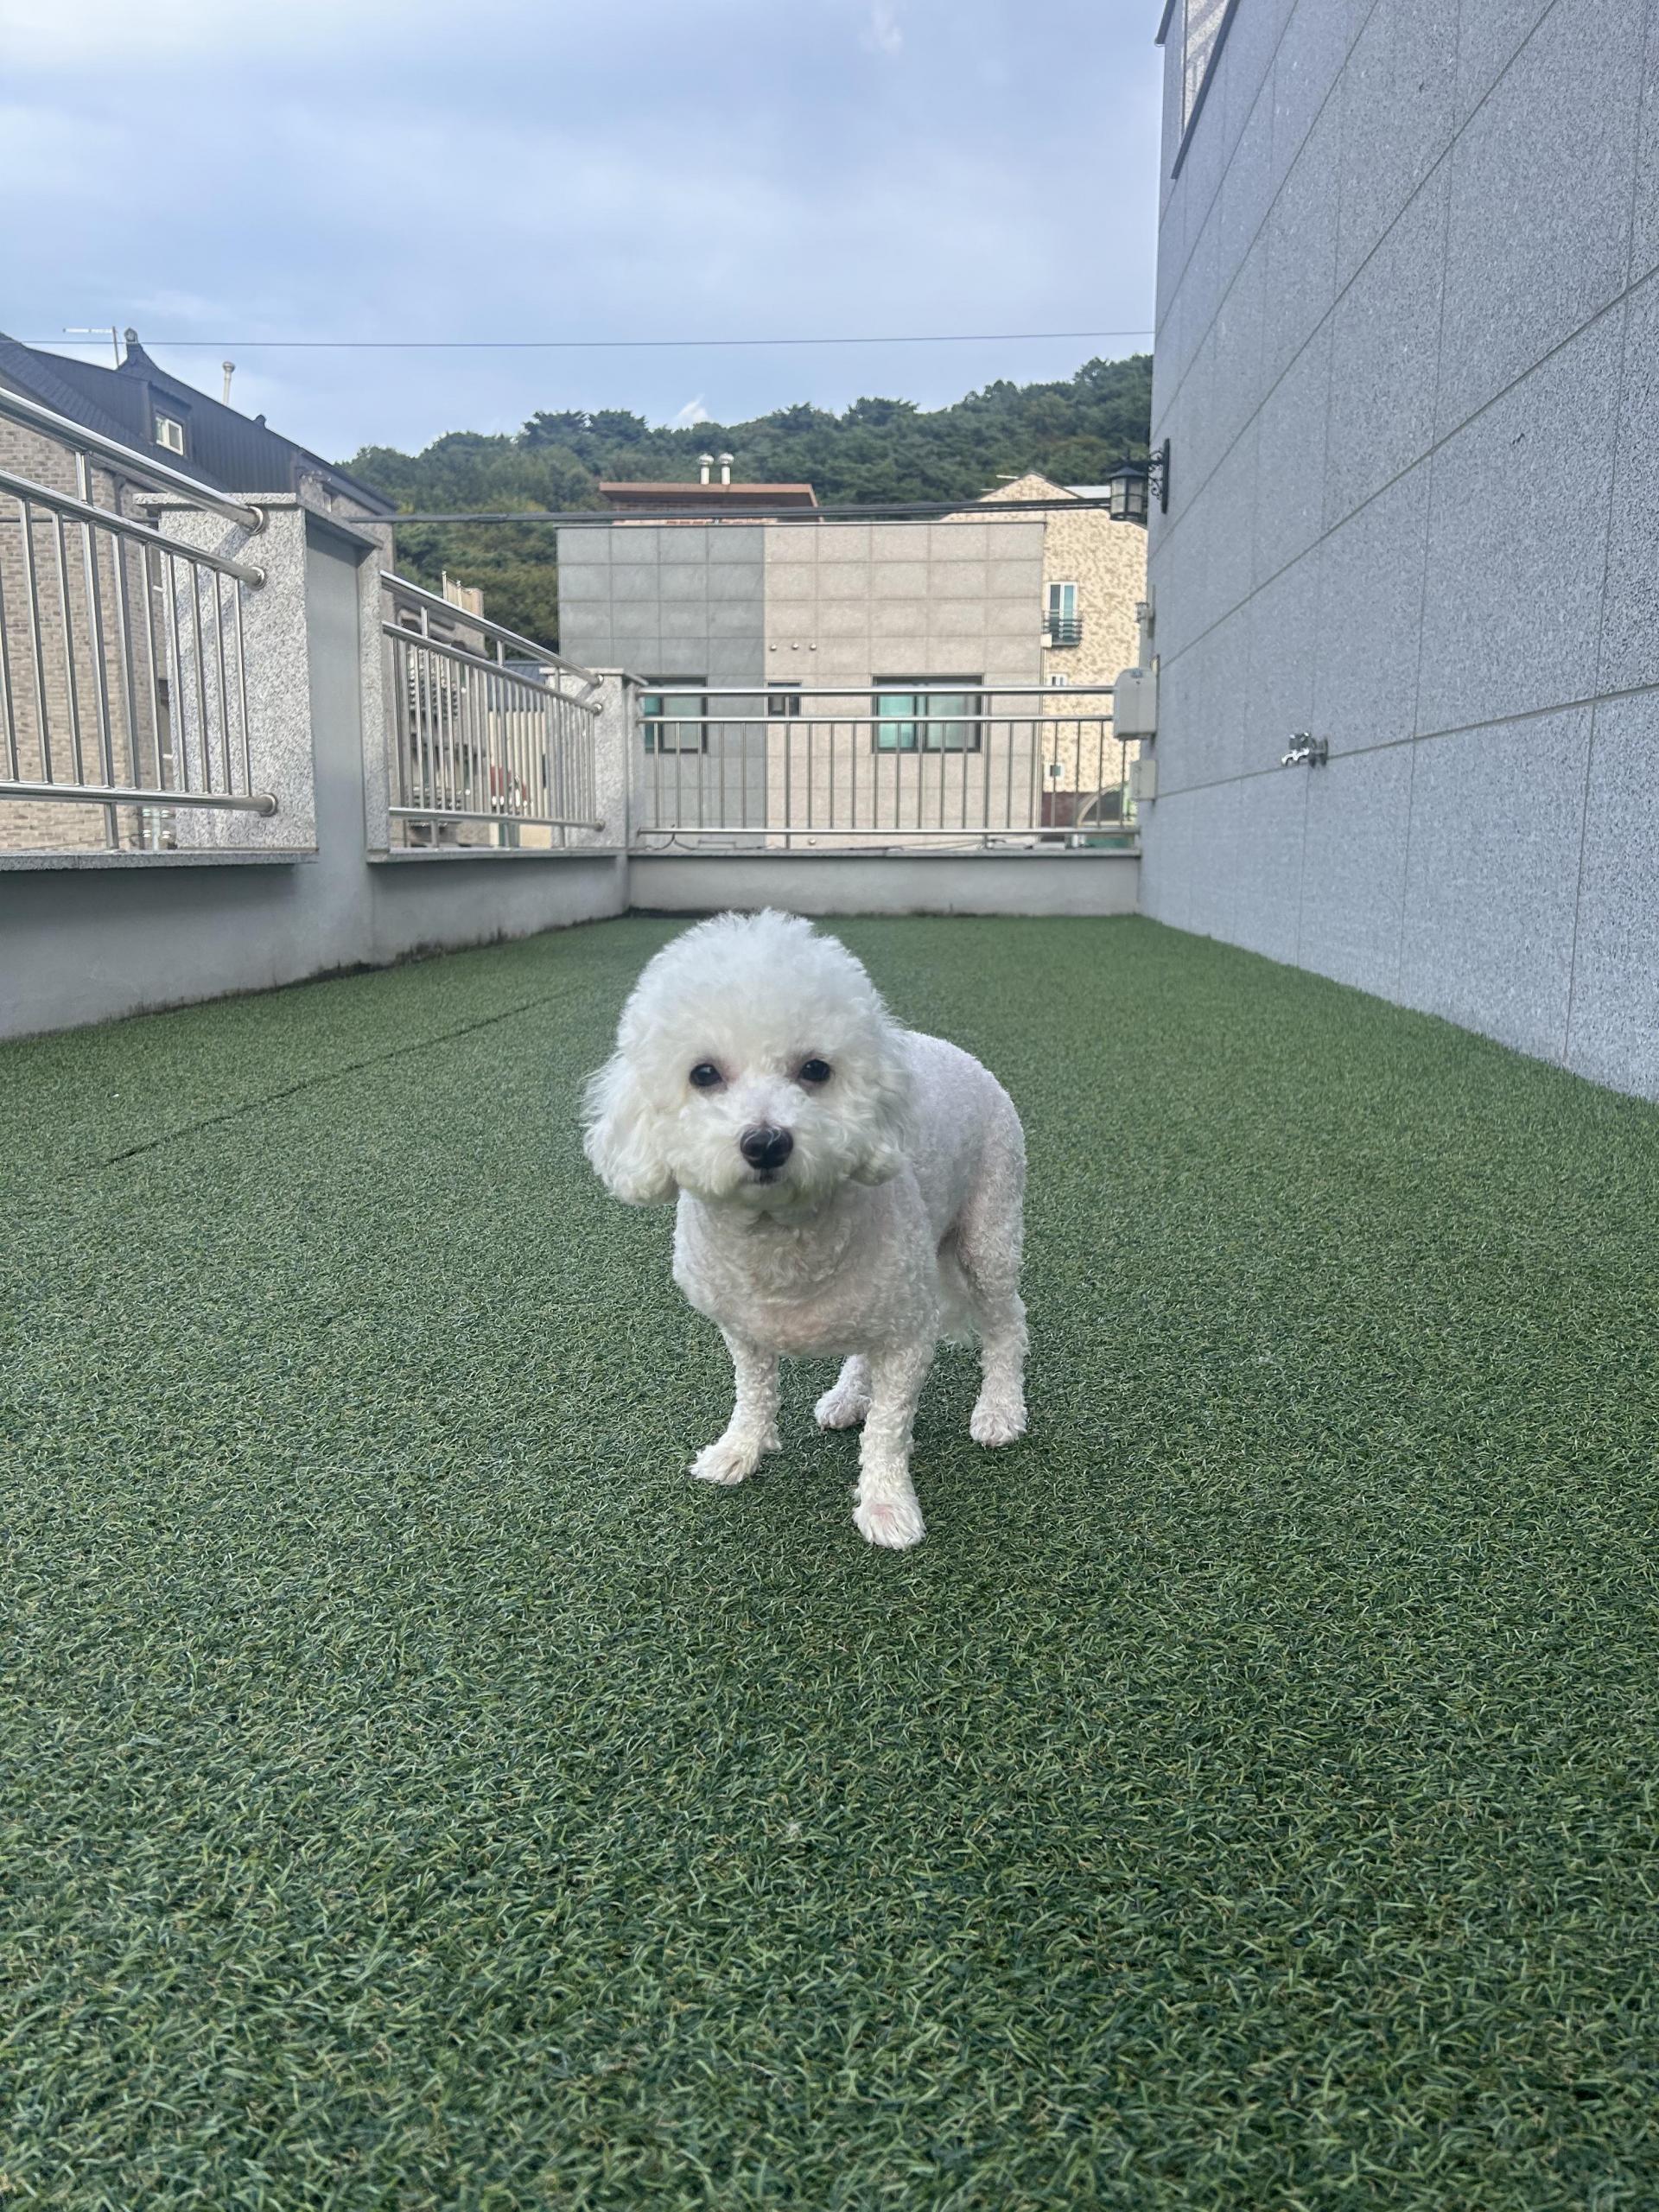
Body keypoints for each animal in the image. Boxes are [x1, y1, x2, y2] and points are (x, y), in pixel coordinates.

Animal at [582, 910, 1027, 1550]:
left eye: (815, 1070)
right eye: (703, 1074)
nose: (766, 1142)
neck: (778, 1242)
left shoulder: (909, 1339)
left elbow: (888, 1430)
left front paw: (887, 1505)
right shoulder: (742, 1329)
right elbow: (753, 1393)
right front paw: (739, 1451)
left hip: (987, 1233)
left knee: (1007, 1324)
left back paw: (1000, 1410)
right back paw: (847, 1397)